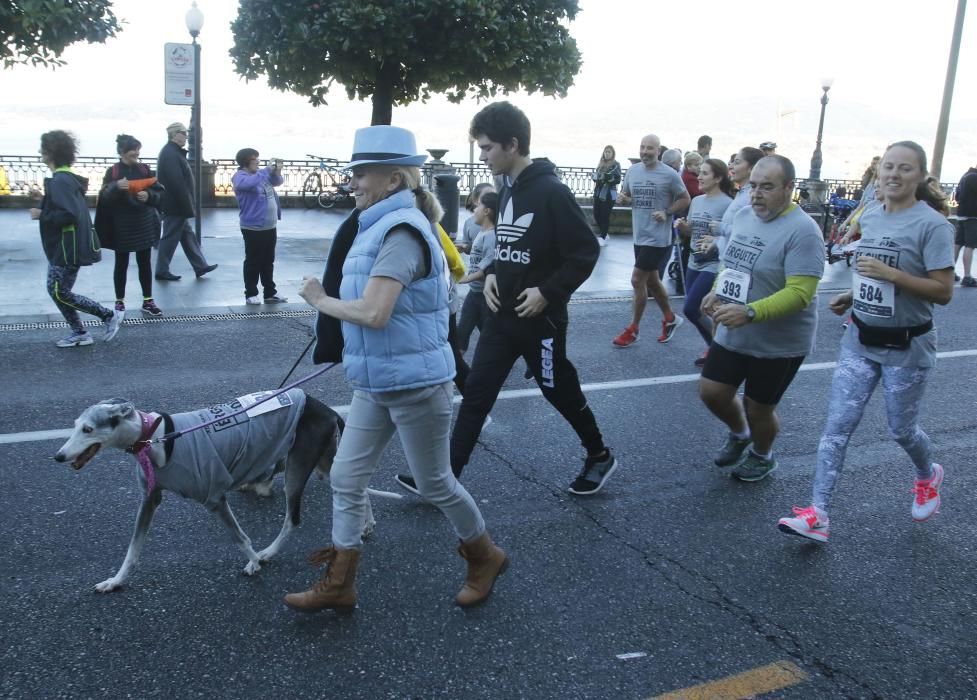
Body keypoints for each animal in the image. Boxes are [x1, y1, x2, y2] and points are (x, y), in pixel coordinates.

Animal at [54, 388, 388, 592]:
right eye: (76, 425)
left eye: (88, 429)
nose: (58, 456)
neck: (156, 438)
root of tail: (327, 409)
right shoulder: (150, 498)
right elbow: (133, 549)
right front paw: (115, 581)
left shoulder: (214, 498)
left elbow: (240, 537)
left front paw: (254, 561)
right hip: (323, 463)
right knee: (358, 487)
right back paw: (367, 524)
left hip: (298, 466)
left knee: (293, 518)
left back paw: (268, 552)